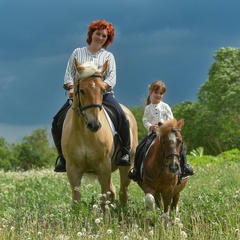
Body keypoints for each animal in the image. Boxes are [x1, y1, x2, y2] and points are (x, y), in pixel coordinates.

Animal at [61, 58, 138, 208]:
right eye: (82, 90)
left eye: (102, 90)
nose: (94, 124)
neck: (84, 133)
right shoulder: (73, 170)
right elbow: (76, 201)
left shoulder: (104, 167)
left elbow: (103, 200)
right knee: (113, 192)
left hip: (126, 166)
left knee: (122, 192)